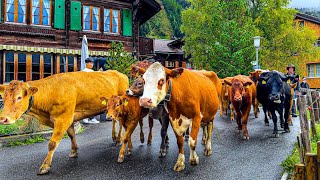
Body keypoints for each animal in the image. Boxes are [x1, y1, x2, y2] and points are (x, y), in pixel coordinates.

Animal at [0, 70, 129, 174]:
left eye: (19, 97)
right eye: (4, 98)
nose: (3, 118)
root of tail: (119, 73)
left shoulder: (63, 119)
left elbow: (52, 143)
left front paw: (45, 166)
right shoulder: (68, 117)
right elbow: (71, 134)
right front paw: (74, 151)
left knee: (120, 123)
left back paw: (118, 139)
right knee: (114, 120)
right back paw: (114, 137)